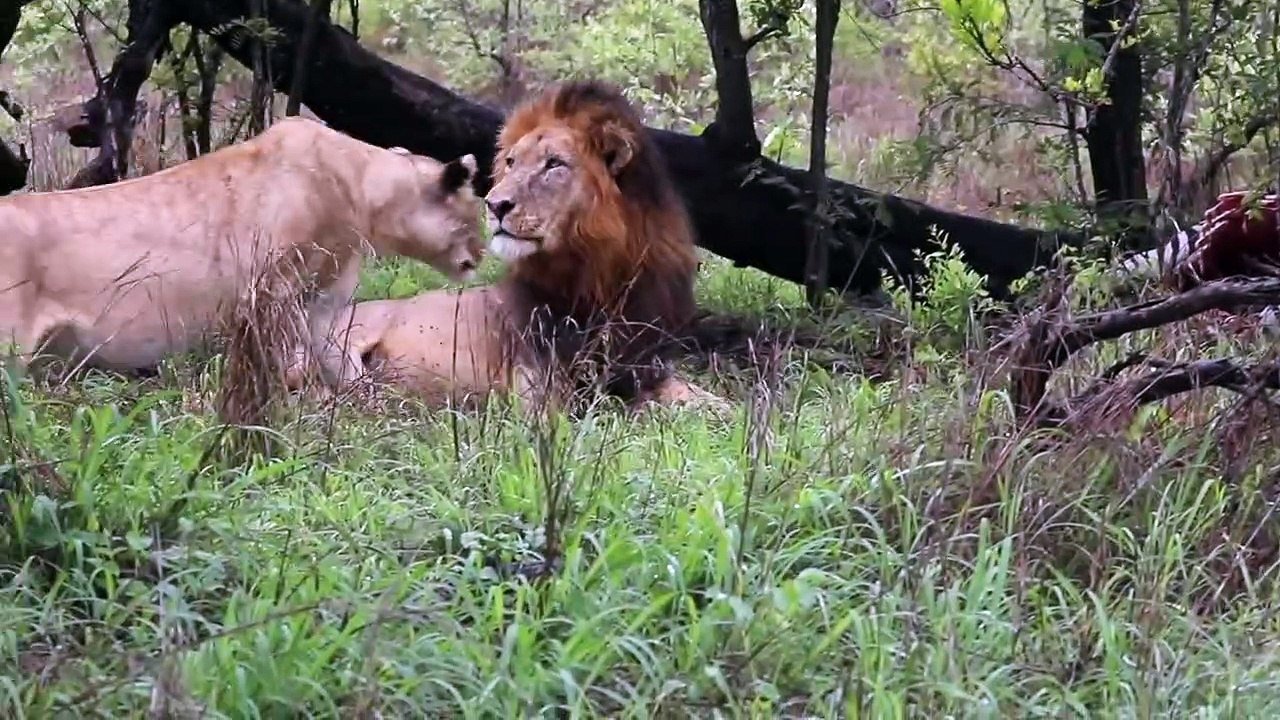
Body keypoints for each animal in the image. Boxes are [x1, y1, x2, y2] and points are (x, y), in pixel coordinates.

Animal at [0, 116, 486, 387]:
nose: (480, 257)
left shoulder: (322, 303)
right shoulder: (274, 292)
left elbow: (343, 368)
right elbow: (279, 370)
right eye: (474, 212)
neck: (363, 188)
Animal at [314, 79, 727, 413]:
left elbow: (711, 403)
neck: (602, 276)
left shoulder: (647, 365)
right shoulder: (538, 386)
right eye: (511, 162)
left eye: (554, 164)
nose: (494, 204)